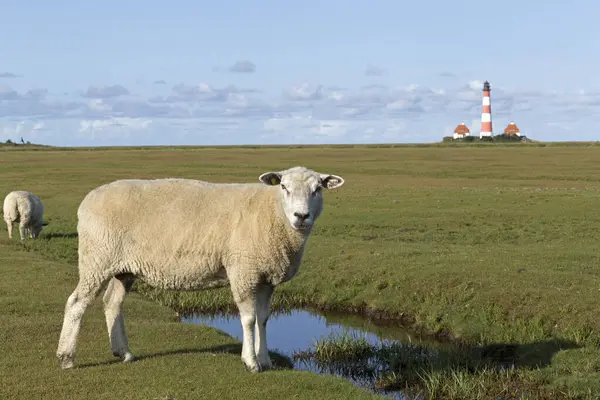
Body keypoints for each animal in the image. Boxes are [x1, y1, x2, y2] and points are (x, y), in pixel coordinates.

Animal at [56, 165, 346, 372]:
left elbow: (263, 319)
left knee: (112, 303)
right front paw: (251, 362)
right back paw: (66, 357)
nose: (301, 216)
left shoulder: (264, 277)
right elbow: (249, 319)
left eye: (318, 189)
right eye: (284, 187)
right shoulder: (243, 270)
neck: (273, 213)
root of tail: (88, 200)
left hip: (122, 267)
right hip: (97, 258)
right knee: (77, 302)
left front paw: (266, 360)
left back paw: (123, 353)